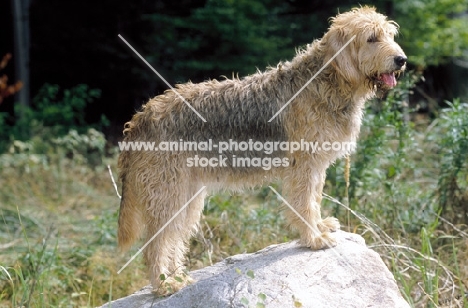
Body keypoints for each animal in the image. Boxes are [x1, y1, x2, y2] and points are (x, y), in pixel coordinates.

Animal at [116, 4, 406, 294]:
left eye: (390, 35)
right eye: (371, 38)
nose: (402, 59)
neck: (327, 81)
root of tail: (139, 119)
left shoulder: (315, 167)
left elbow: (314, 199)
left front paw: (320, 226)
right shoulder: (303, 167)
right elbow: (304, 204)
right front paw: (314, 238)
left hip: (186, 196)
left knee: (174, 240)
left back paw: (178, 277)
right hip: (168, 194)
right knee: (155, 244)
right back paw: (163, 284)